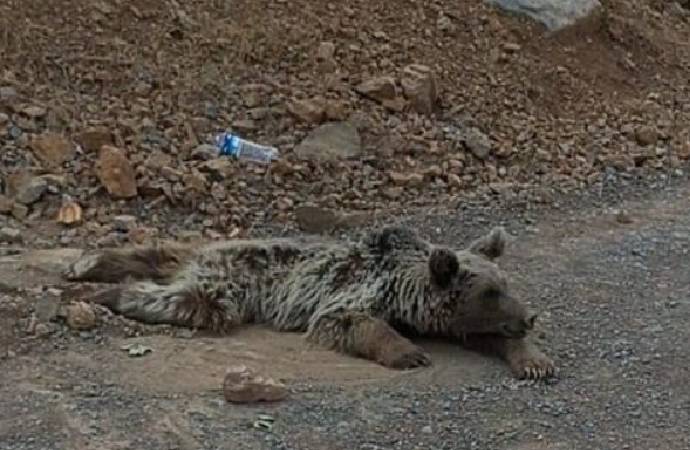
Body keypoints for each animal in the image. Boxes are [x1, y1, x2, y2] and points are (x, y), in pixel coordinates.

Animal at [63, 227, 552, 378]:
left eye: (504, 284)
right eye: (490, 292)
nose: (530, 316)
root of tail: (205, 260)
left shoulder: (449, 320)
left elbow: (488, 337)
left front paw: (533, 361)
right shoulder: (356, 292)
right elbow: (350, 321)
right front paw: (407, 352)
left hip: (206, 258)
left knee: (163, 253)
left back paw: (92, 265)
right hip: (227, 284)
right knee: (186, 300)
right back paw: (99, 288)